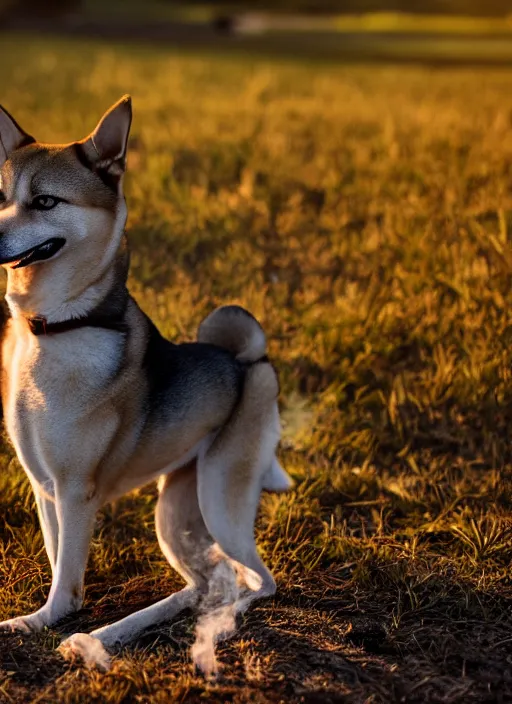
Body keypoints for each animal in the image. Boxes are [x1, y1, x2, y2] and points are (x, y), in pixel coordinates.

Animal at [0, 96, 290, 672]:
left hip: (221, 495)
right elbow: (60, 561)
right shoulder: (45, 487)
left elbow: (66, 588)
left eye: (45, 202)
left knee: (256, 581)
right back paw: (114, 632)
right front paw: (48, 620)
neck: (54, 326)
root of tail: (249, 358)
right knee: (203, 582)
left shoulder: (76, 490)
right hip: (175, 508)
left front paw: (45, 621)